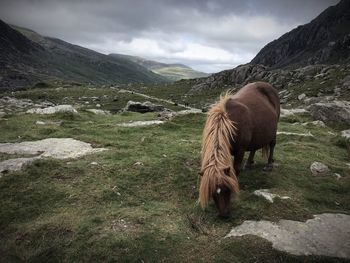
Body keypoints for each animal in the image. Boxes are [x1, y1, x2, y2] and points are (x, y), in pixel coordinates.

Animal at [198, 82, 280, 219]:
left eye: (227, 189)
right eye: (212, 193)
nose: (224, 215)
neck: (229, 123)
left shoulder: (240, 151)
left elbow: (235, 170)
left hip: (273, 130)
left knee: (272, 145)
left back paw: (269, 165)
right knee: (253, 148)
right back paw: (249, 163)